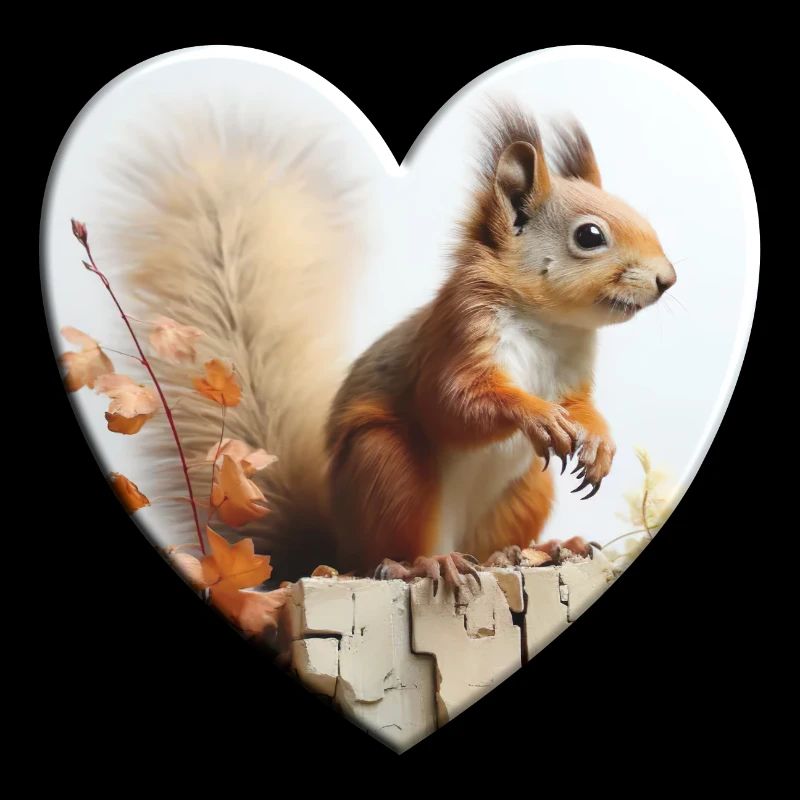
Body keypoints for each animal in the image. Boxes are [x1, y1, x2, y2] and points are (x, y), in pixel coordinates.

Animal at [116, 102, 676, 587]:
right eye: (589, 236)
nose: (667, 279)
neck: (549, 325)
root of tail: (334, 552)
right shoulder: (458, 335)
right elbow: (452, 403)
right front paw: (536, 415)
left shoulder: (573, 373)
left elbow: (582, 408)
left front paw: (599, 443)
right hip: (386, 468)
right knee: (388, 552)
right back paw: (424, 565)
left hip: (524, 491)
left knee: (492, 544)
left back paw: (540, 549)